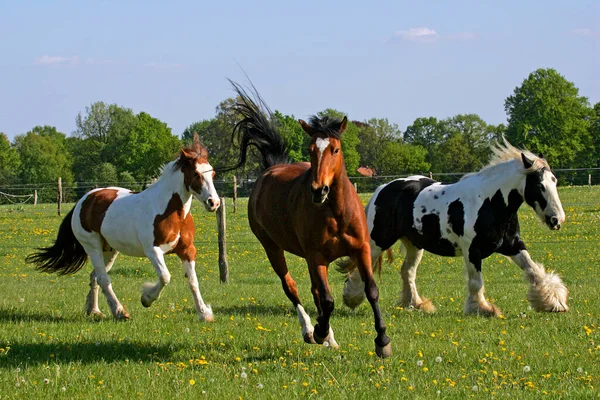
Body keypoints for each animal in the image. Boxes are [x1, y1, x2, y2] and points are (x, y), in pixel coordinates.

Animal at [25, 136, 219, 324]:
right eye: (196, 174)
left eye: (213, 173)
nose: (214, 203)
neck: (170, 212)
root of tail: (84, 200)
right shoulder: (153, 251)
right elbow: (165, 277)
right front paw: (146, 298)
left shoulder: (187, 250)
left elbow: (193, 282)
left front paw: (204, 314)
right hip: (92, 246)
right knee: (103, 278)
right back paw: (119, 312)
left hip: (109, 250)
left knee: (95, 276)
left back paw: (94, 311)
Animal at [226, 83, 394, 358]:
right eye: (311, 150)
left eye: (335, 149)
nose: (319, 190)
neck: (336, 213)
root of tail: (269, 170)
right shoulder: (317, 257)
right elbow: (327, 300)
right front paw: (319, 331)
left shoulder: (360, 250)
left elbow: (371, 291)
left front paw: (382, 340)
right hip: (273, 248)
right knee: (292, 287)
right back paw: (310, 330)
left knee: (315, 292)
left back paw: (328, 337)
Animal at [340, 139, 568, 318]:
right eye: (539, 185)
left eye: (554, 181)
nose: (557, 219)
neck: (490, 204)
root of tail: (383, 188)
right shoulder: (472, 251)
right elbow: (476, 282)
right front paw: (483, 309)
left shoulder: (513, 246)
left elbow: (534, 271)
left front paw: (553, 302)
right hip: (378, 240)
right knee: (366, 267)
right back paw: (352, 298)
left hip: (415, 245)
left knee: (407, 272)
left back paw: (416, 304)